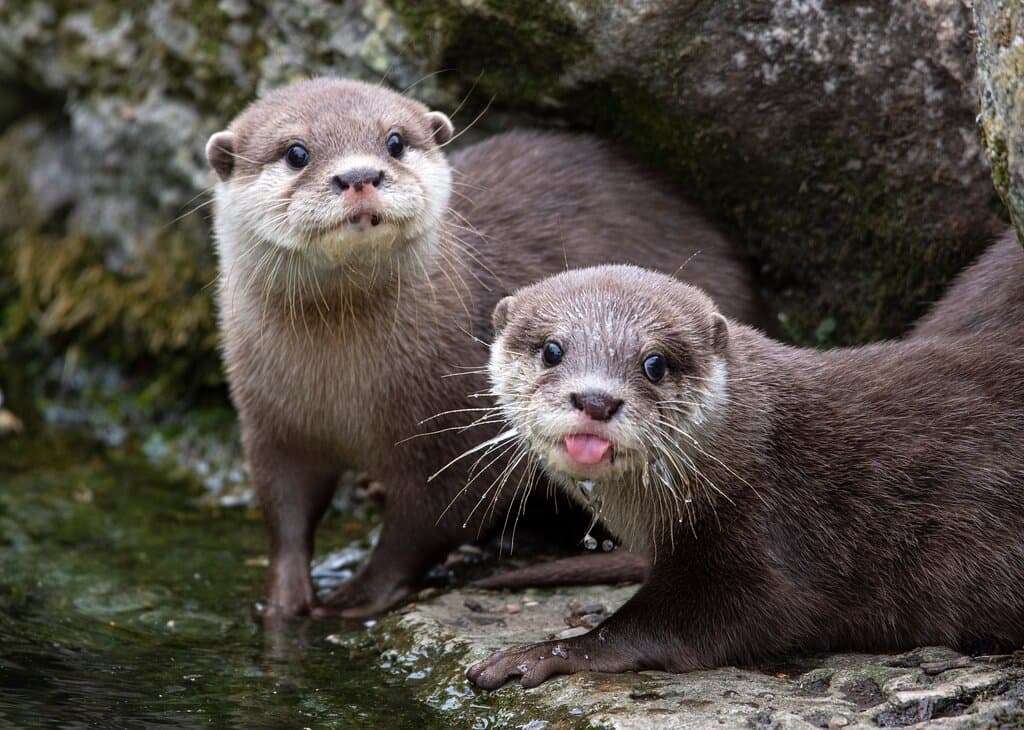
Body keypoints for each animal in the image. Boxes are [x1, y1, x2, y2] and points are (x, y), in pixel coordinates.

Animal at [206, 78, 765, 620]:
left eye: (394, 142)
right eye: (296, 152)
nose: (359, 175)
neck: (340, 388)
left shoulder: (457, 428)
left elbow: (429, 520)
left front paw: (358, 595)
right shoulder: (271, 423)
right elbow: (284, 510)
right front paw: (282, 599)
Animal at [468, 265, 1024, 689]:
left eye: (654, 363)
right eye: (551, 350)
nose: (596, 399)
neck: (759, 450)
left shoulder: (769, 536)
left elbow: (710, 621)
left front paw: (543, 653)